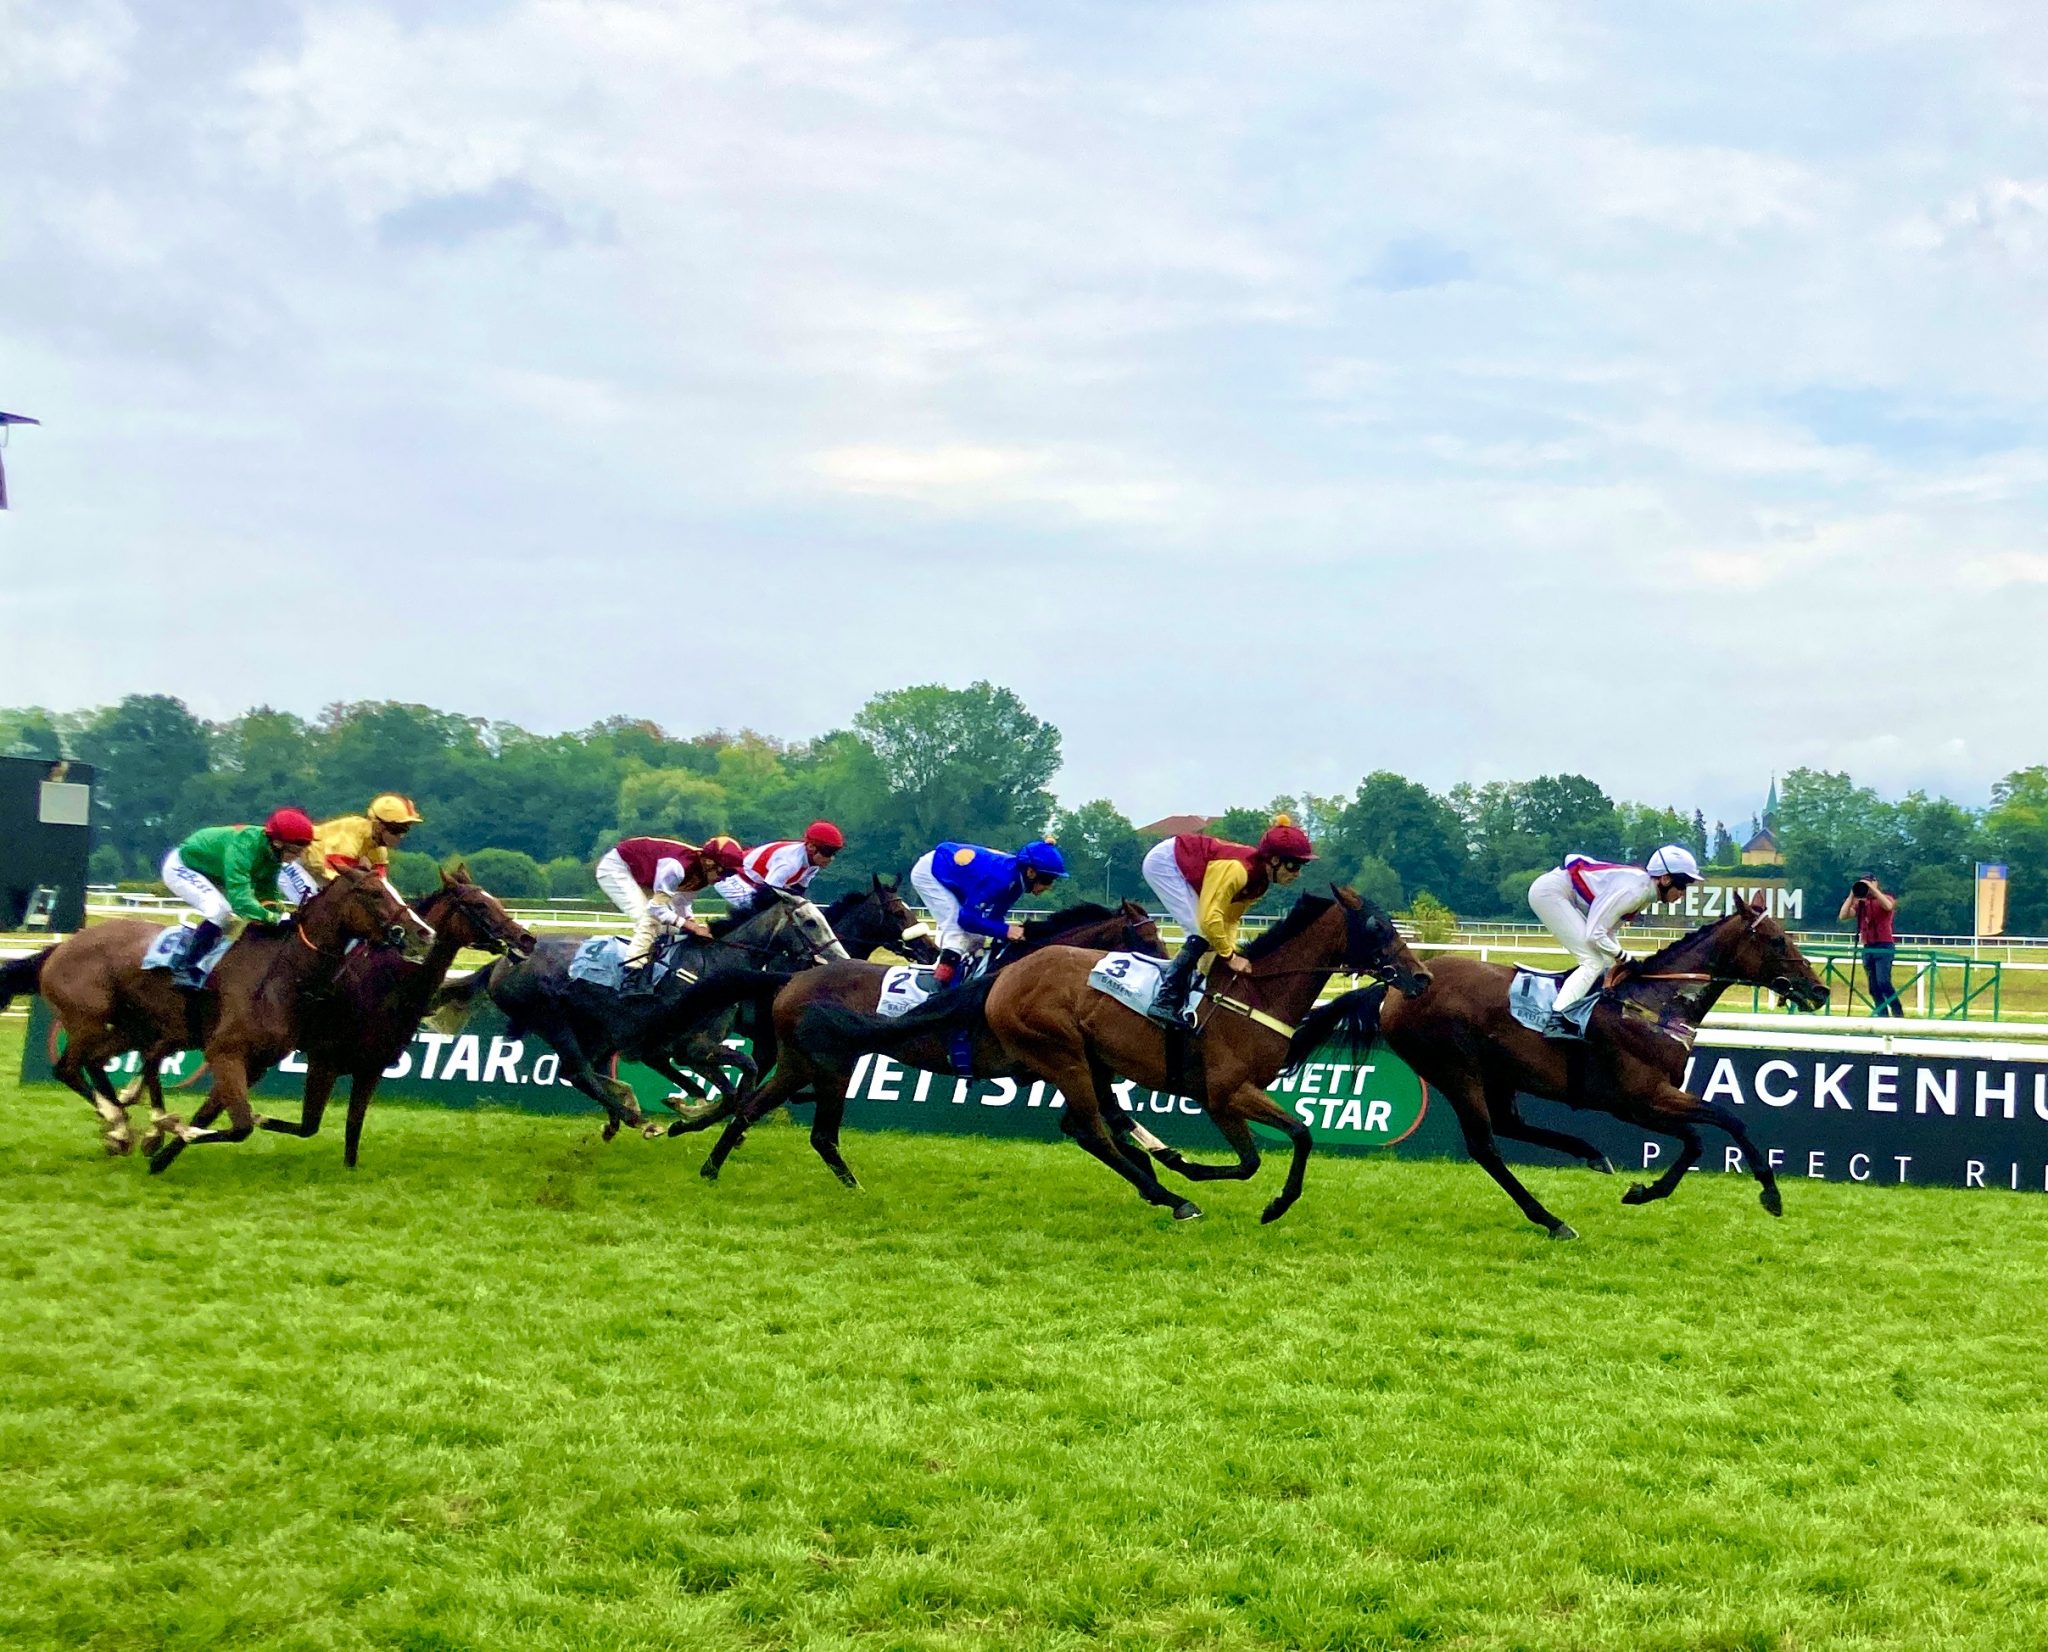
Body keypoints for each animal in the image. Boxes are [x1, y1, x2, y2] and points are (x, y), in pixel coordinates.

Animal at [0, 868, 431, 1157]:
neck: (282, 972)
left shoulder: (255, 1061)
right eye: (373, 893)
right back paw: (118, 1123)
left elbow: (232, 1117)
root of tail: (60, 948)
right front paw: (172, 1128)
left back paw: (121, 1125)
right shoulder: (225, 1052)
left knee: (96, 1062)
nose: (419, 933)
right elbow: (238, 1125)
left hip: (128, 1027)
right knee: (67, 1067)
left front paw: (163, 1128)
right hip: (88, 1018)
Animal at [423, 890, 843, 1140]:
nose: (838, 958)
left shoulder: (686, 1050)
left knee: (580, 1072)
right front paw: (685, 1116)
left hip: (594, 1030)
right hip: (553, 1019)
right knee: (577, 1071)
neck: (717, 969)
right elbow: (738, 1080)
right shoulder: (689, 1047)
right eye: (810, 922)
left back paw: (620, 1112)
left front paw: (686, 1109)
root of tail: (502, 962)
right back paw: (635, 1116)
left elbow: (726, 1087)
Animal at [691, 900, 1170, 1189]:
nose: (1167, 984)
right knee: (816, 1131)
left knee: (753, 1108)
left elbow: (1111, 1118)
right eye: (1147, 940)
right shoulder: (1048, 1062)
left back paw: (712, 1168)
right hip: (831, 1065)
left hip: (800, 1062)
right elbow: (1102, 1118)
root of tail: (792, 978)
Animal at [1365, 895, 1830, 1238]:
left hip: (1497, 1074)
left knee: (1509, 1125)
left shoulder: (1648, 1103)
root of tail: (1399, 989)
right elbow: (1726, 1123)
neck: (1652, 1005)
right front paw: (1771, 1195)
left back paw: (1590, 1154)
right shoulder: (1640, 1100)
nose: (1820, 990)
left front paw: (1644, 1190)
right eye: (1776, 940)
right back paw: (1552, 1220)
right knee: (1485, 1147)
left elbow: (1697, 1138)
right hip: (1457, 1072)